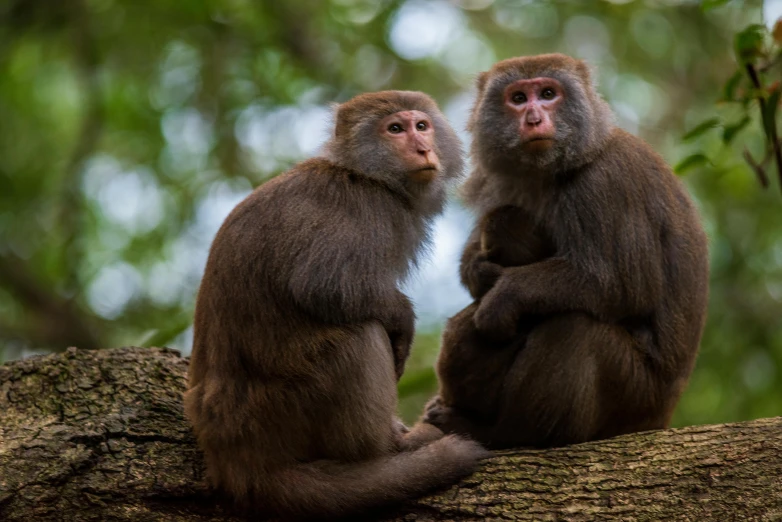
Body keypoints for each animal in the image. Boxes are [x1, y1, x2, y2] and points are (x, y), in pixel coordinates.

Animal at [185, 90, 490, 520]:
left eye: (422, 125)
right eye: (395, 129)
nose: (422, 147)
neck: (364, 174)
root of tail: (238, 457)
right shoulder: (369, 211)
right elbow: (322, 286)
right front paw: (403, 320)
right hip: (287, 408)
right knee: (359, 334)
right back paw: (384, 448)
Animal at [426, 54, 712, 448]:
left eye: (548, 94)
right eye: (518, 98)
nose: (533, 118)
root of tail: (659, 419)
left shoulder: (604, 182)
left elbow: (624, 286)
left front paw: (503, 297)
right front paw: (481, 271)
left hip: (634, 398)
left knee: (576, 327)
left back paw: (506, 436)